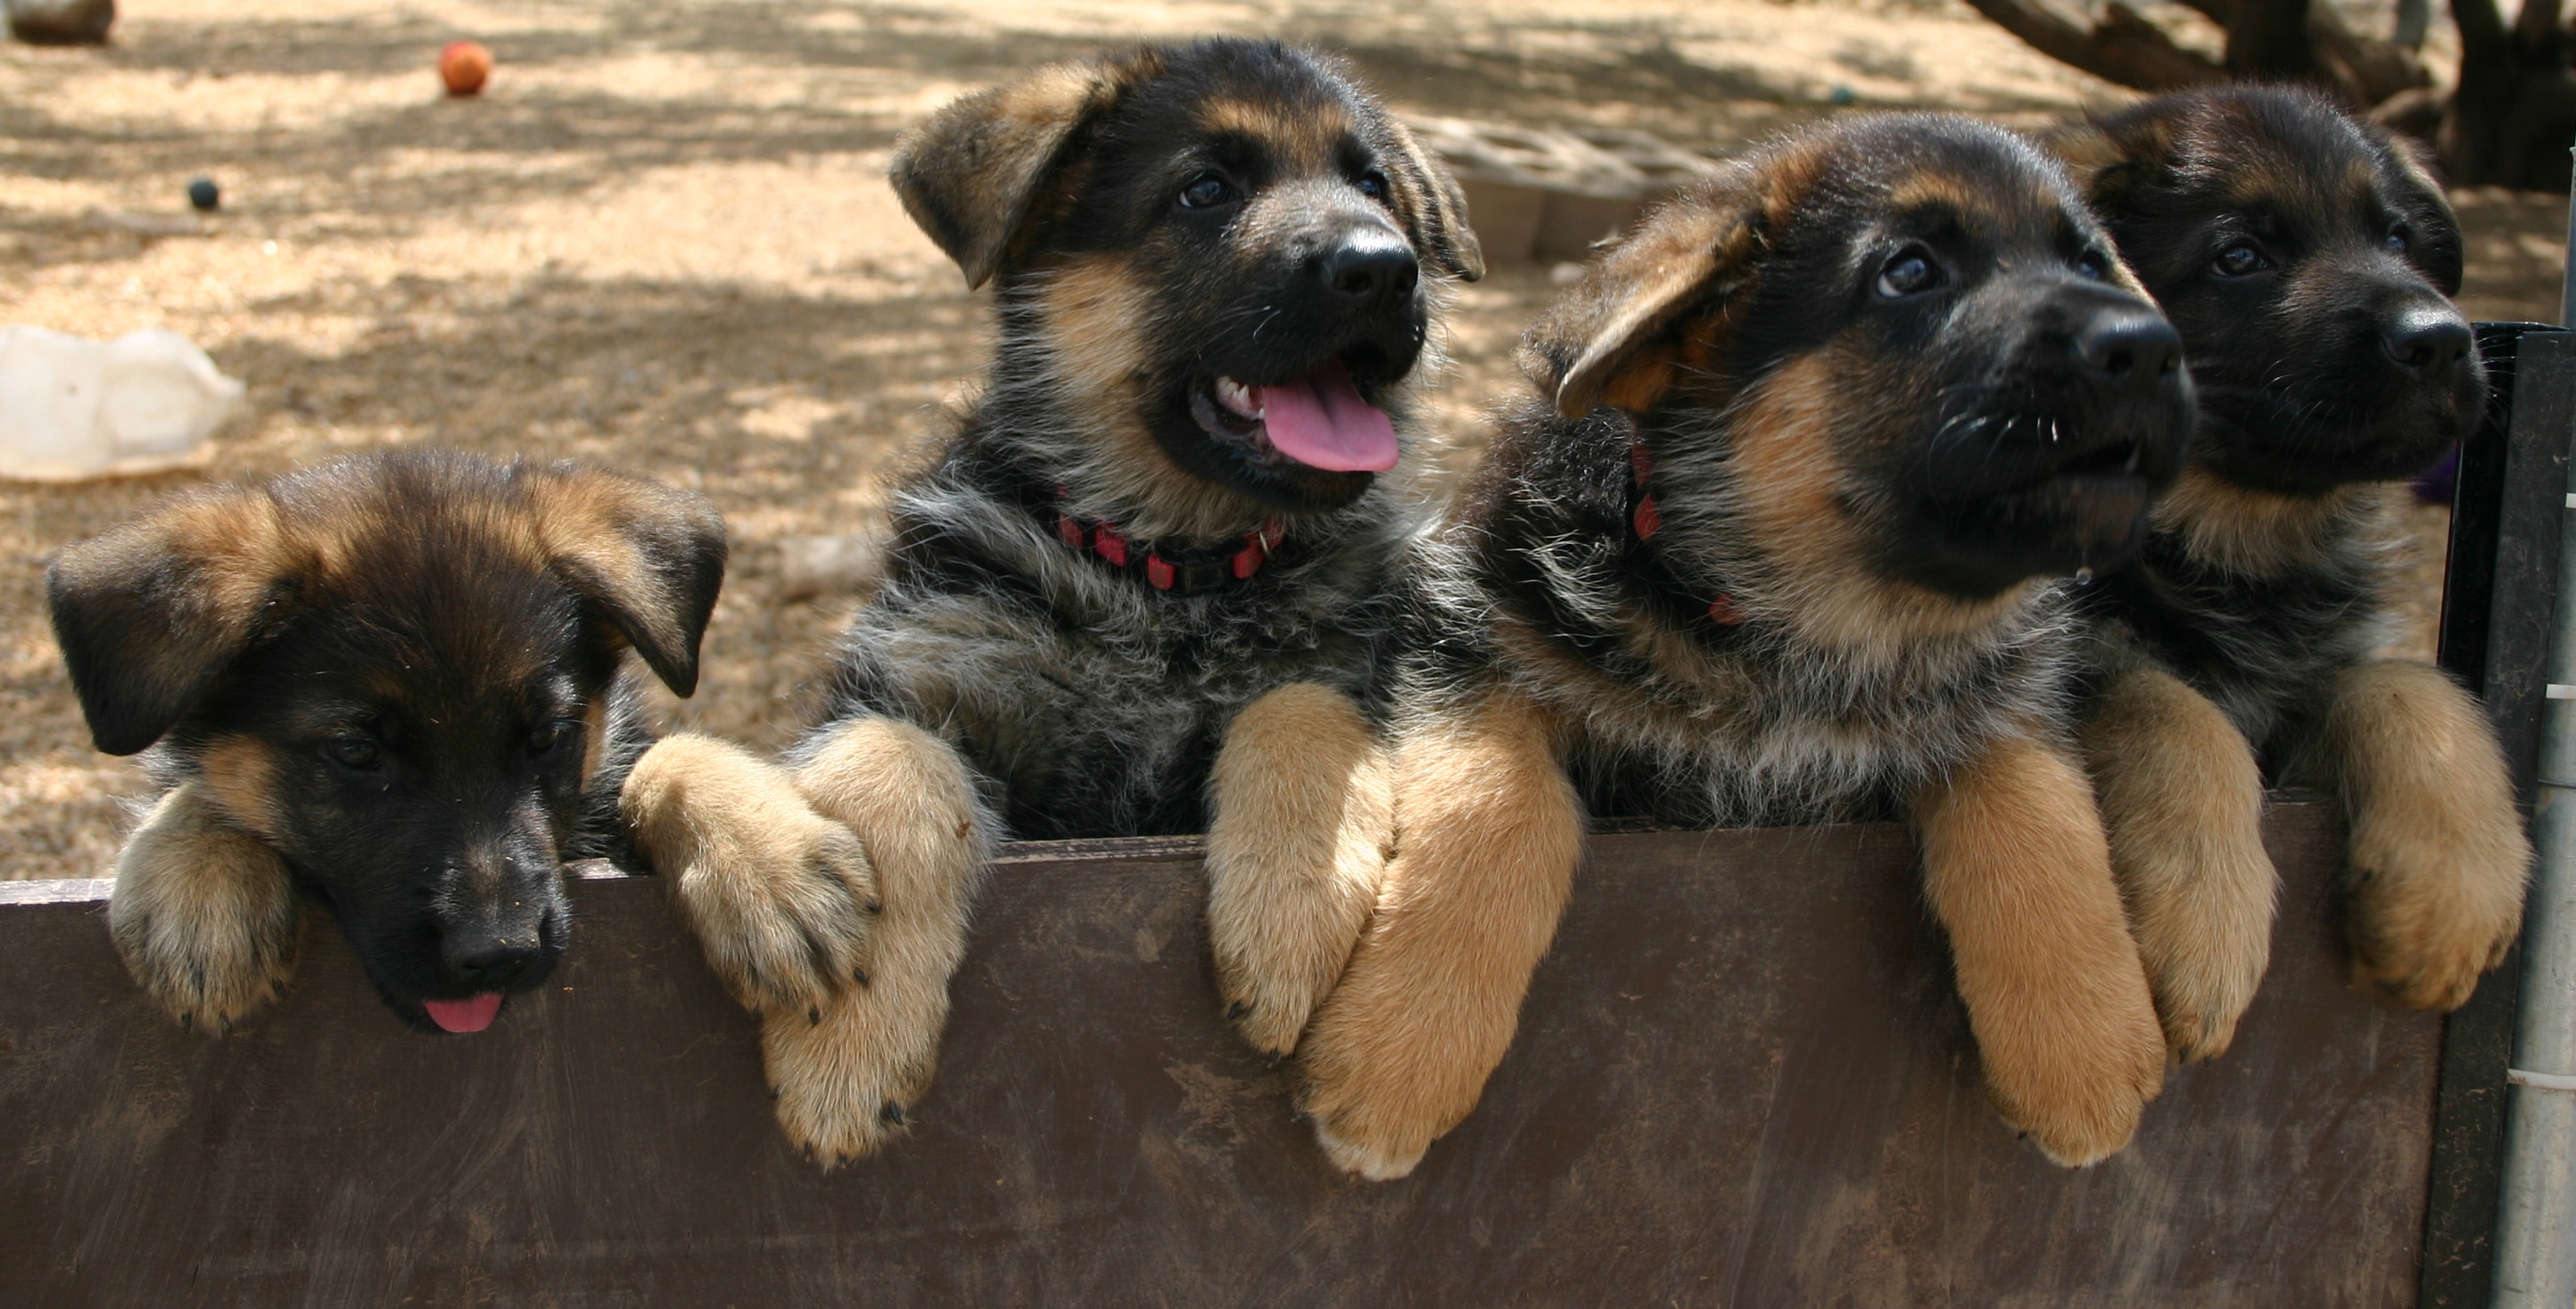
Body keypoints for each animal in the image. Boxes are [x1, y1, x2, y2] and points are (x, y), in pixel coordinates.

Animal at [47, 456, 726, 1035]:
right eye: (354, 751)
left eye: (547, 737)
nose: (498, 955)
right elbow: (201, 788)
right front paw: (201, 881)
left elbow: (667, 761)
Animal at [610, 37, 1483, 1165]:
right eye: (1204, 190)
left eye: (1374, 187)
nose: (1382, 267)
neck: (1164, 575)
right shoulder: (916, 677)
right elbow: (889, 763)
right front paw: (848, 1042)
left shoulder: (1343, 664)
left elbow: (1298, 703)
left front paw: (1294, 909)